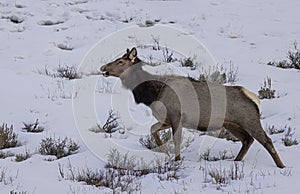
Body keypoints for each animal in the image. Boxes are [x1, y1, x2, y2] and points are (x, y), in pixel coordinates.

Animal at [101, 47, 286, 168]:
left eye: (120, 61)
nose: (103, 67)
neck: (152, 94)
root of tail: (254, 98)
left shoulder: (176, 115)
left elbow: (176, 139)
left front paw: (176, 159)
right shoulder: (167, 119)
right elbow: (153, 129)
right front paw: (164, 150)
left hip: (249, 119)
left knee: (266, 140)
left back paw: (281, 166)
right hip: (231, 124)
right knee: (247, 139)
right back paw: (236, 161)